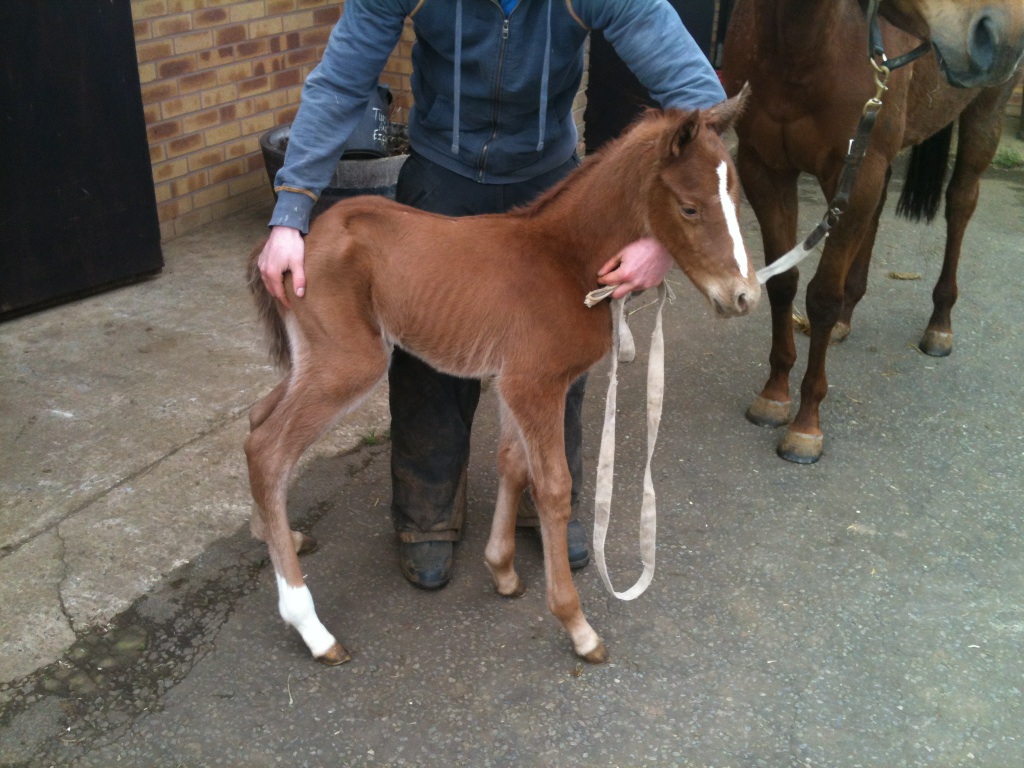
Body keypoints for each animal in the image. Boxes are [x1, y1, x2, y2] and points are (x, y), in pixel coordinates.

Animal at [720, 0, 1024, 462]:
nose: (1001, 34)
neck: (801, 48)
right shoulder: (765, 168)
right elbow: (783, 284)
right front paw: (773, 396)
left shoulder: (858, 172)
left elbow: (821, 298)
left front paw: (806, 425)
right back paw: (849, 316)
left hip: (985, 112)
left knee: (960, 205)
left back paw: (939, 325)